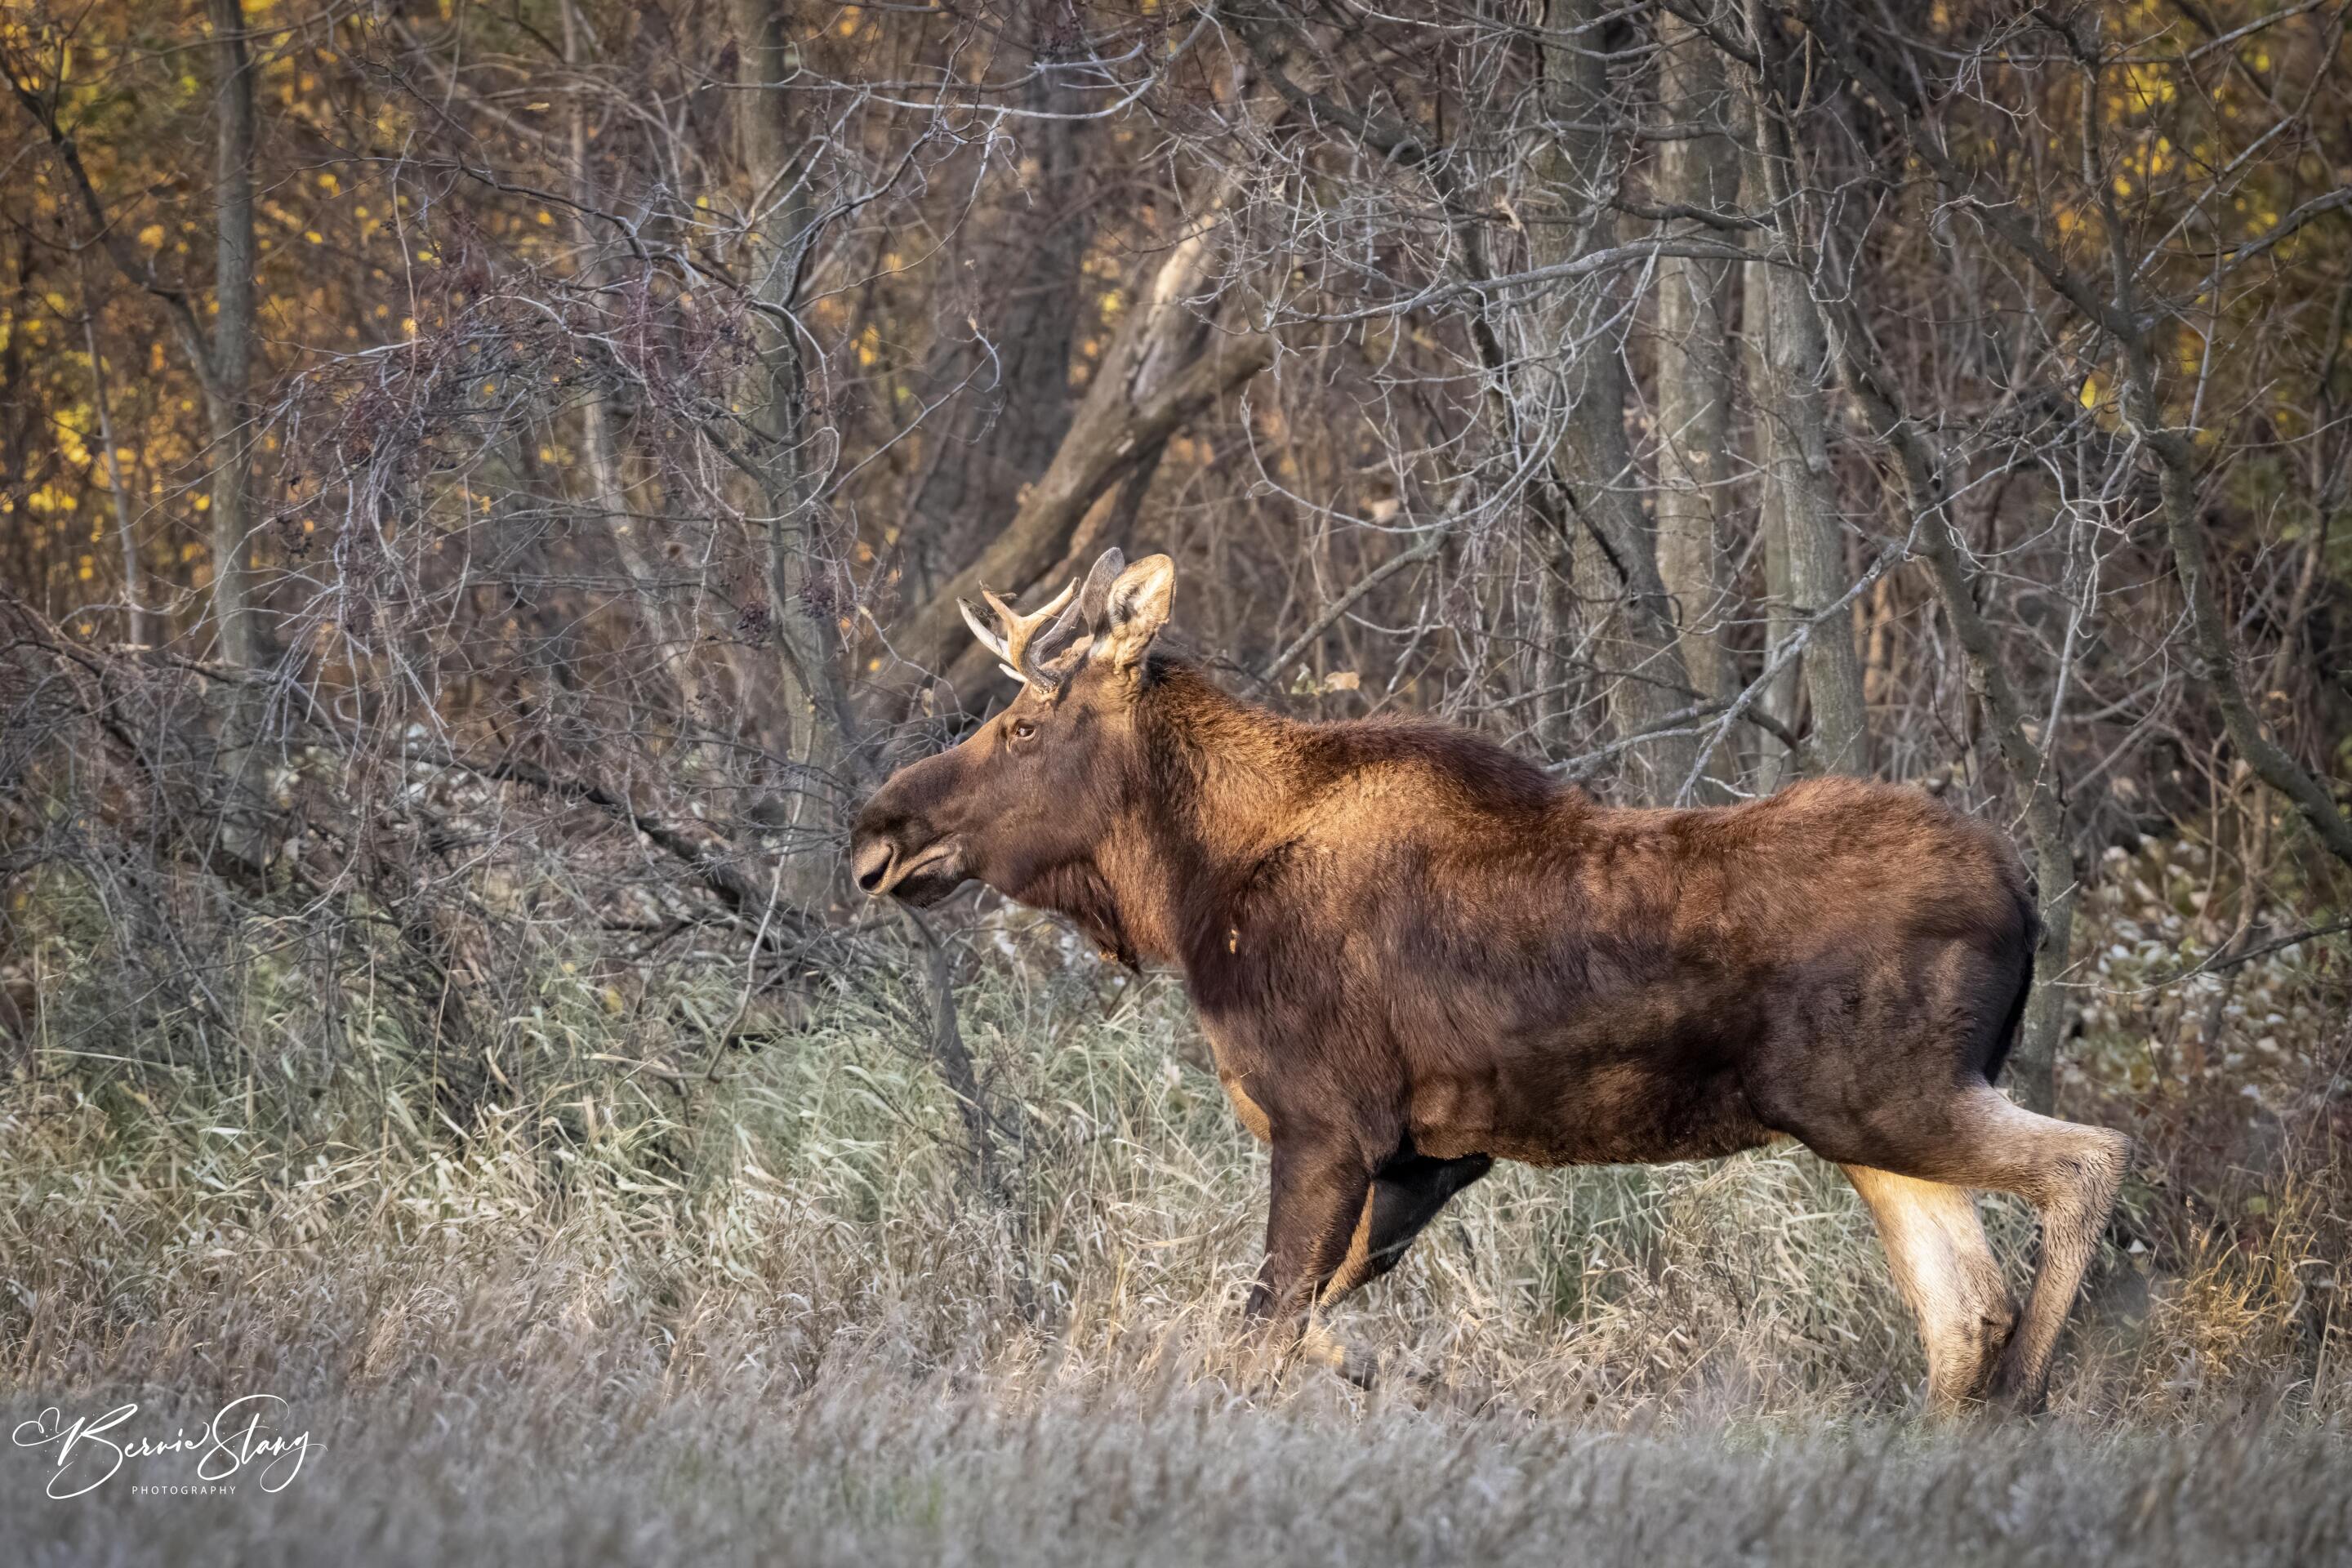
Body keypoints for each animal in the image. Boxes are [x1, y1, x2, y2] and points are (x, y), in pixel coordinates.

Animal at [849, 547, 2130, 1415]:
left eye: (1022, 725)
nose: (878, 828)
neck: (1194, 890)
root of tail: (2026, 889)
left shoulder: (1329, 1126)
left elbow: (1260, 1325)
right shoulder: (1434, 1151)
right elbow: (1293, 1313)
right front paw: (1383, 1373)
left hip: (1888, 1096)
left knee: (2087, 1163)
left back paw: (2025, 1399)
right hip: (1862, 1126)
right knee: (1963, 1309)